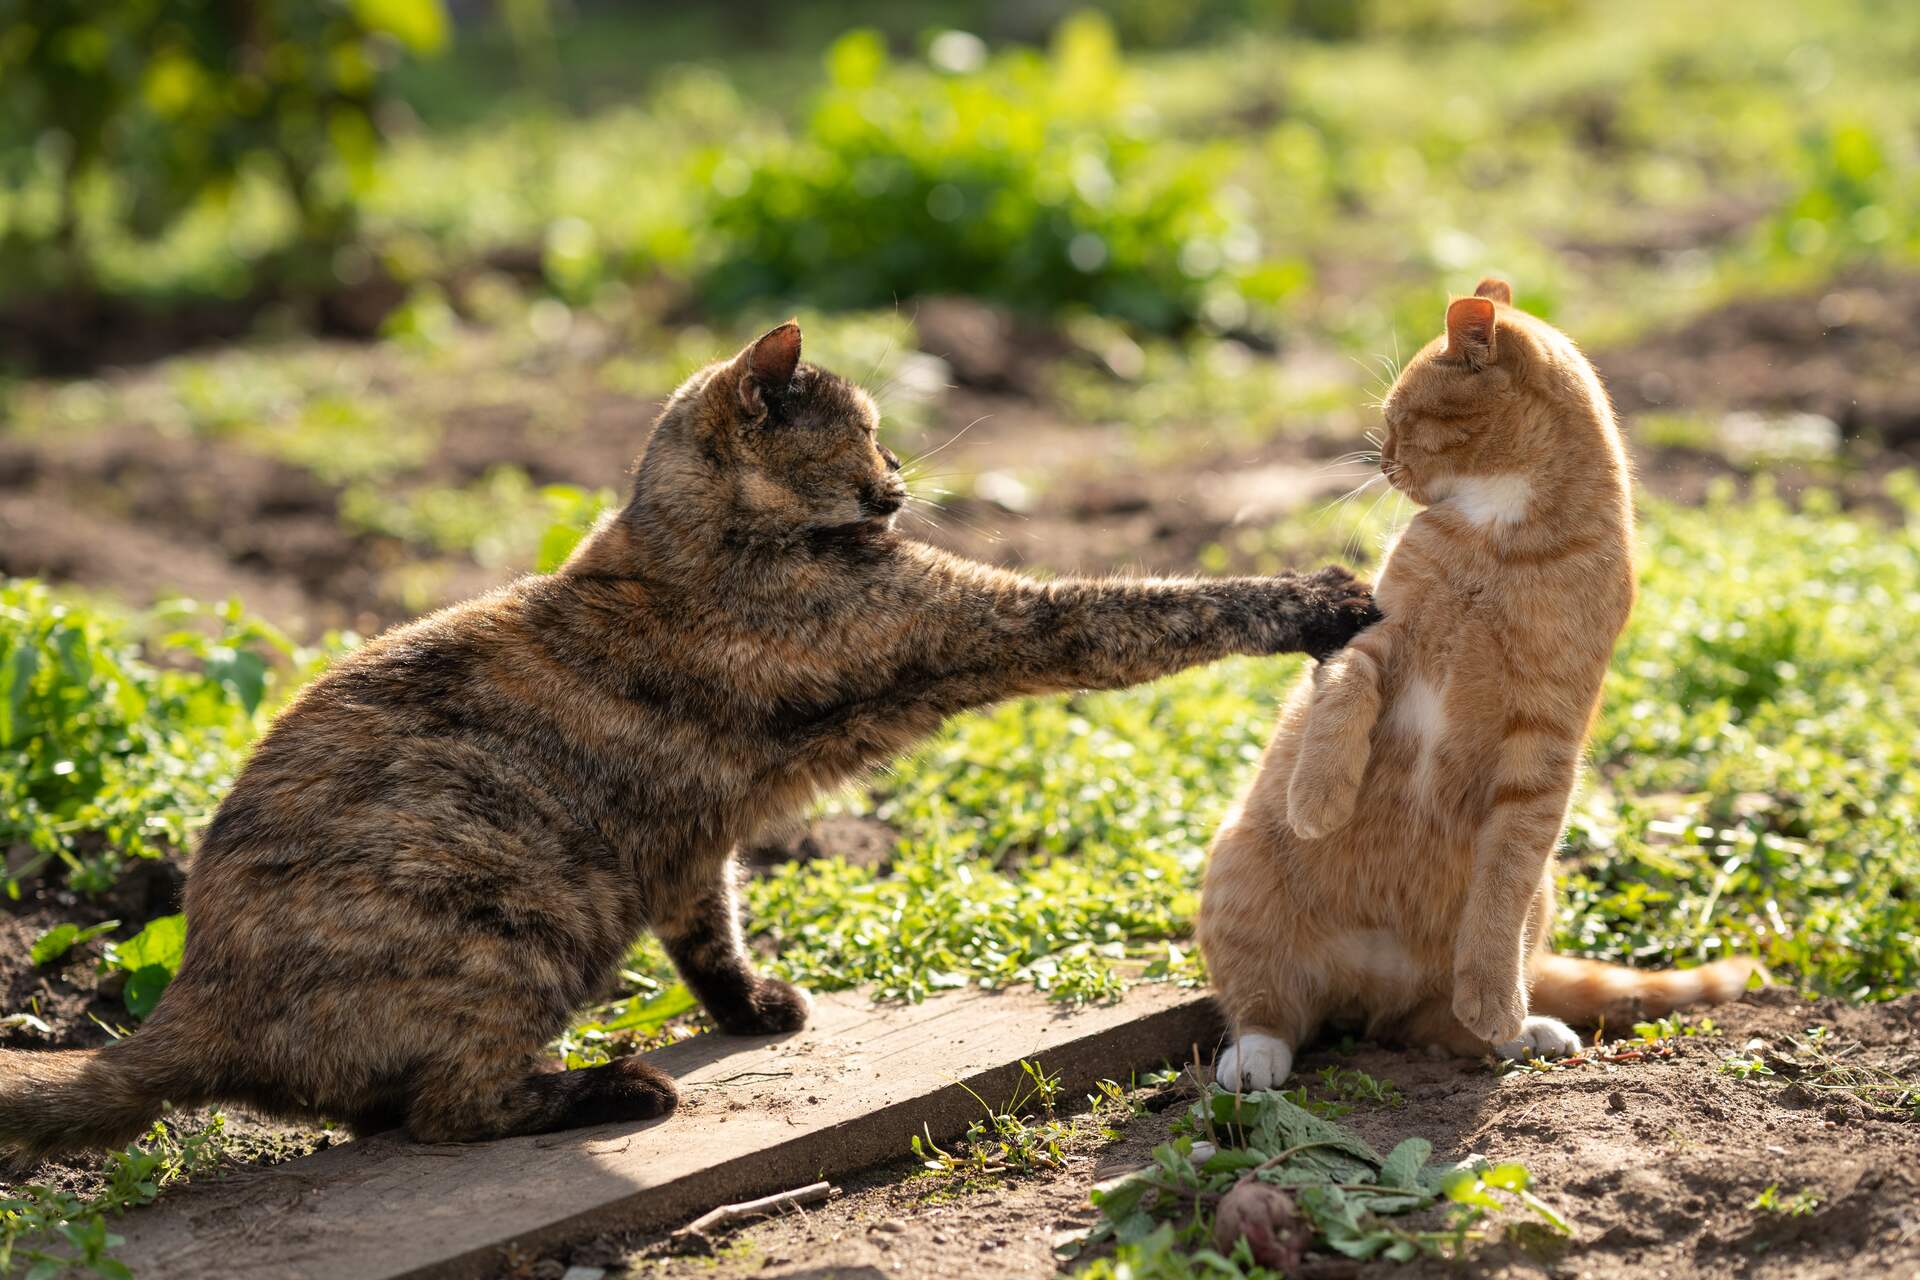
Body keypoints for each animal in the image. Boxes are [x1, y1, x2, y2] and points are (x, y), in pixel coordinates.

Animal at [0, 322, 1382, 1159]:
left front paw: (753, 1002)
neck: (684, 540)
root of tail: (192, 995)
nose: (899, 473)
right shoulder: (993, 618)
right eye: (864, 430)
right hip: (517, 919)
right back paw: (613, 1086)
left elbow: (708, 919)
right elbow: (1156, 605)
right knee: (447, 1107)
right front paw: (1321, 594)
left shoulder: (692, 836)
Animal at [1198, 282, 1766, 1090]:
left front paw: (1496, 1001)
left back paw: (1523, 1028)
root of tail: (1372, 986)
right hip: (1240, 880)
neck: (1500, 538)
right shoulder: (1372, 640)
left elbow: (1501, 889)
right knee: (1271, 1011)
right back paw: (1255, 1058)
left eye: (1401, 419)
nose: (1386, 462)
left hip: (1533, 904)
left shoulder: (1543, 742)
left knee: (1438, 1019)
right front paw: (1318, 801)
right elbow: (1343, 697)